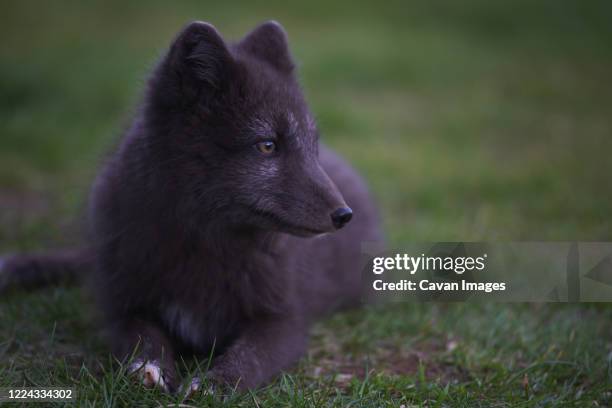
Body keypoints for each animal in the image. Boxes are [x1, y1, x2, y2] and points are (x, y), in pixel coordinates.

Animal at [0, 20, 382, 394]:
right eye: (267, 145)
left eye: (311, 145)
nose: (344, 215)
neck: (205, 242)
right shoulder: (123, 304)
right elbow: (140, 337)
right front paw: (149, 368)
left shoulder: (285, 321)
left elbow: (251, 356)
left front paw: (216, 382)